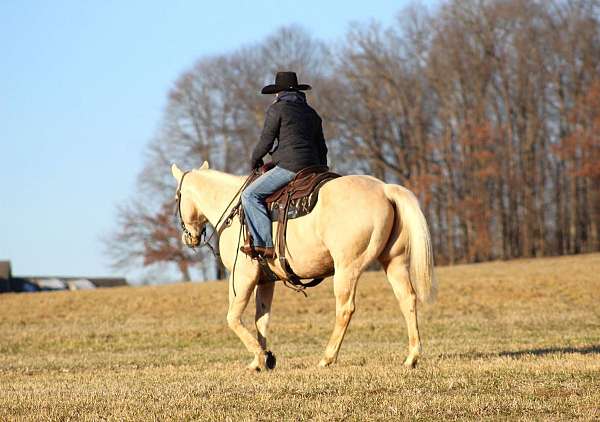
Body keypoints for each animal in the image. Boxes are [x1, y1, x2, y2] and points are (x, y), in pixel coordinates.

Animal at [171, 161, 434, 370]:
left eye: (177, 197)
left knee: (345, 309)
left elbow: (233, 318)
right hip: (394, 262)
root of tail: (383, 189)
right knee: (407, 299)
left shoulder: (242, 277)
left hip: (347, 269)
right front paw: (262, 359)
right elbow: (261, 319)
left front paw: (260, 356)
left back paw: (327, 358)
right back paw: (411, 357)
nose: (189, 238)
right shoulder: (266, 281)